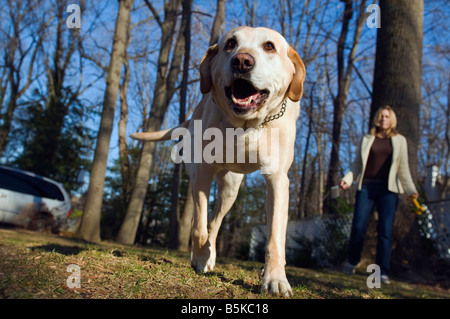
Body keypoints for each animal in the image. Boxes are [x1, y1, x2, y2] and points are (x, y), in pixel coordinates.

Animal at [131, 26, 306, 296]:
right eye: (230, 44)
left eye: (269, 46)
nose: (242, 61)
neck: (246, 126)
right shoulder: (202, 171)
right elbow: (199, 227)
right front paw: (201, 257)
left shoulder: (277, 179)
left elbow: (275, 237)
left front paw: (275, 279)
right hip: (204, 179)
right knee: (204, 223)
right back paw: (203, 257)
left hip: (231, 190)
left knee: (216, 222)